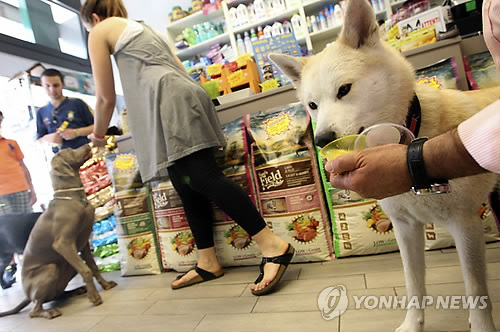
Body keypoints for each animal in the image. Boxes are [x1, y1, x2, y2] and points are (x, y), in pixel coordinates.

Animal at [0, 145, 117, 320]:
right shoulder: (63, 244)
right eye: (68, 150)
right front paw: (94, 297)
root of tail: (27, 295)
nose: (88, 144)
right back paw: (49, 312)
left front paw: (105, 285)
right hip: (50, 268)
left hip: (67, 266)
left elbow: (93, 266)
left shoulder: (84, 243)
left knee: (57, 294)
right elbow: (86, 270)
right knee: (34, 310)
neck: (73, 198)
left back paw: (76, 290)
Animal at [272, 0, 498, 330]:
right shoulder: (405, 228)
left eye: (344, 89)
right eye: (311, 105)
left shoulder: (466, 225)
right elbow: (414, 284)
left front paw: (480, 324)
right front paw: (413, 324)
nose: (322, 139)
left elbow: (476, 291)